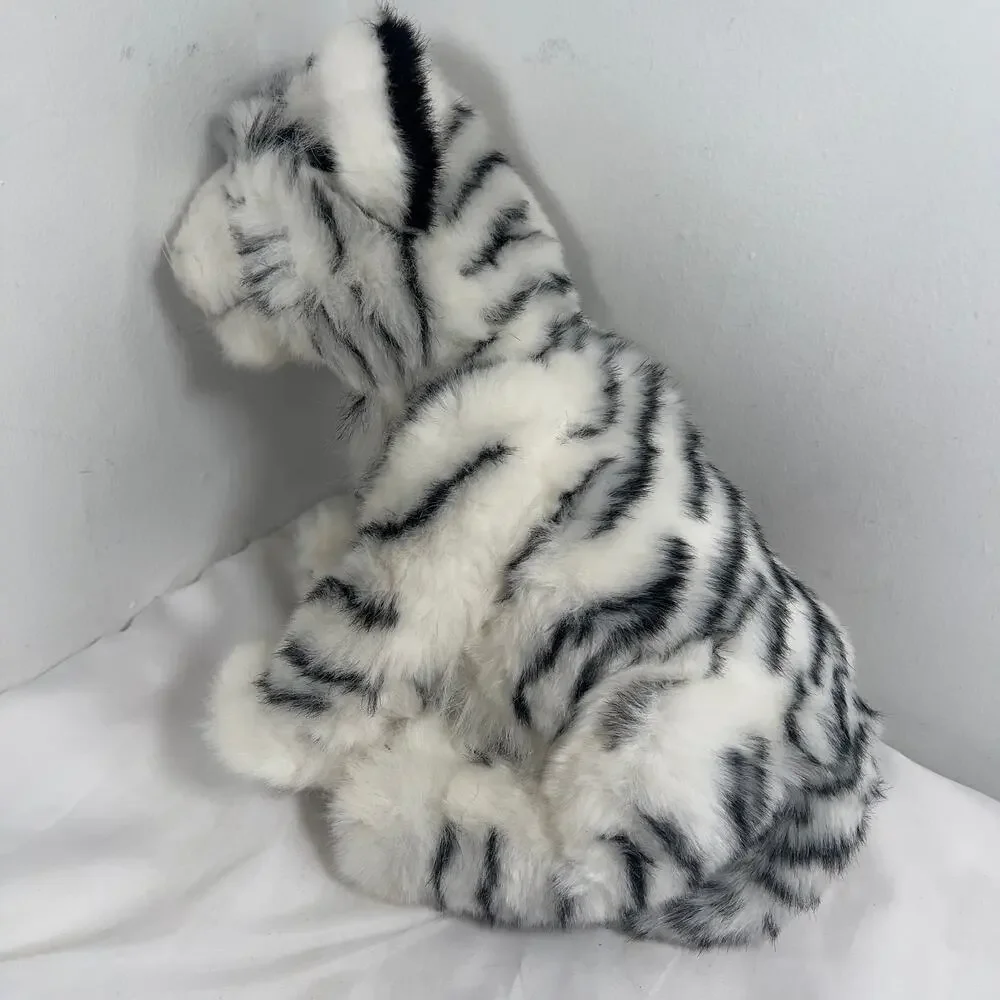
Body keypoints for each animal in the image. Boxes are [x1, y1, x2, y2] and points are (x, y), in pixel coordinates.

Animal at [168, 8, 883, 949]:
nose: (170, 254)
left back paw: (392, 802)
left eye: (239, 205)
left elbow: (341, 646)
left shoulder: (444, 530)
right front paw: (322, 540)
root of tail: (852, 747)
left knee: (568, 871)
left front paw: (247, 726)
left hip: (652, 739)